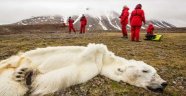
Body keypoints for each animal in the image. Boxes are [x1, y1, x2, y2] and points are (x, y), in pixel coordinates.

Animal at [0, 43, 167, 95]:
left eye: (156, 72)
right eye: (146, 70)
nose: (164, 83)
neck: (103, 61)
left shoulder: (89, 69)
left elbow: (54, 78)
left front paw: (27, 76)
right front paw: (25, 70)